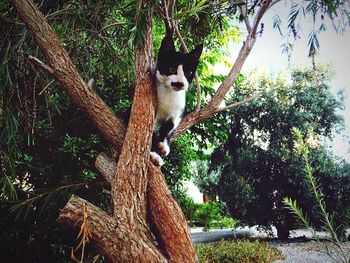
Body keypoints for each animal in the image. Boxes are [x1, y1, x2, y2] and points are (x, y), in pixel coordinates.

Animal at [150, 34, 202, 167]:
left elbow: (170, 127)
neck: (170, 93)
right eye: (172, 69)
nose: (179, 83)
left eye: (189, 72)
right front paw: (154, 154)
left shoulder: (178, 113)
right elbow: (151, 132)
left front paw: (164, 144)